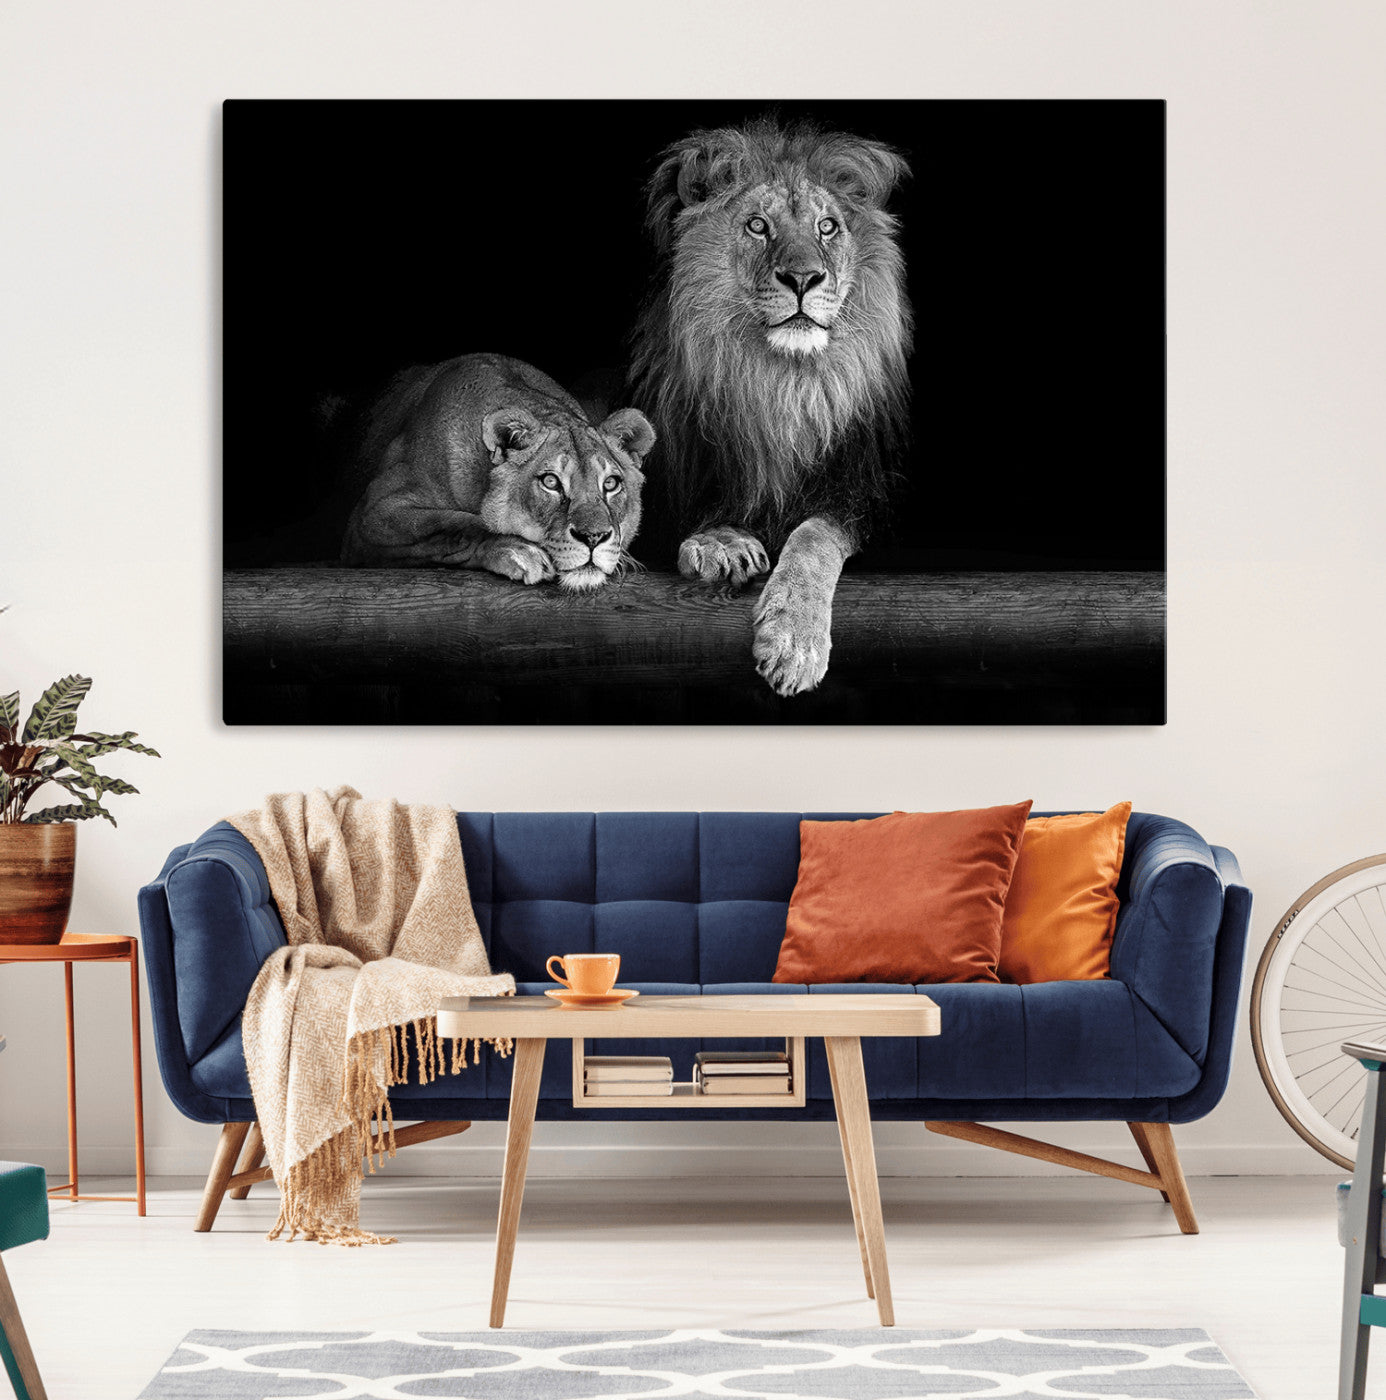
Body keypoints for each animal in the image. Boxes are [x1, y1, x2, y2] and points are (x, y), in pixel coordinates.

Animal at [341, 353, 655, 592]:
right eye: (550, 482)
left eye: (611, 483)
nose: (593, 538)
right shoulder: (372, 513)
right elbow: (454, 525)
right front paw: (519, 550)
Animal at [629, 117, 912, 695]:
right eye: (758, 226)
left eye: (827, 227)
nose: (803, 278)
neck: (780, 385)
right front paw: (720, 542)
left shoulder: (866, 494)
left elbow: (814, 535)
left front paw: (794, 641)